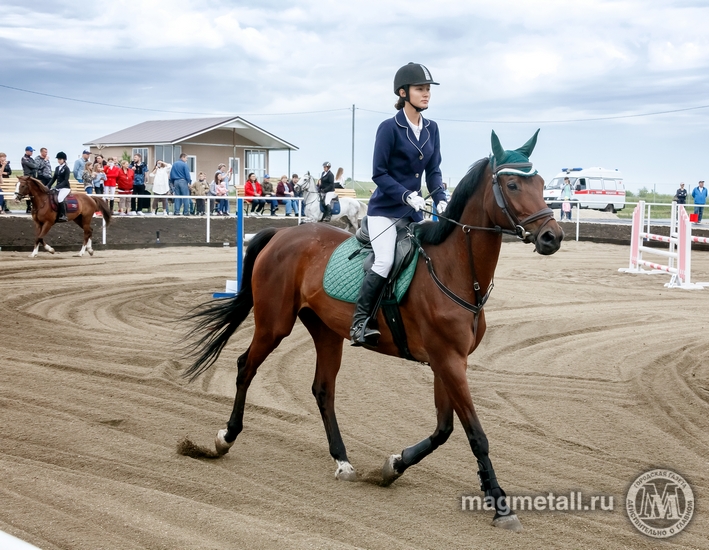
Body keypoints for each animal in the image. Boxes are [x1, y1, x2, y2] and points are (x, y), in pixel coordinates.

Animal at [183, 132, 564, 532]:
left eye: (541, 183)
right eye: (513, 184)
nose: (552, 237)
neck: (455, 268)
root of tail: (281, 236)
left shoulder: (447, 362)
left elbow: (443, 429)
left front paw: (393, 466)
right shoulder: (447, 360)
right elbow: (476, 434)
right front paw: (500, 504)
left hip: (326, 331)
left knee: (323, 390)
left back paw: (342, 460)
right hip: (274, 325)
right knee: (246, 367)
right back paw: (225, 438)